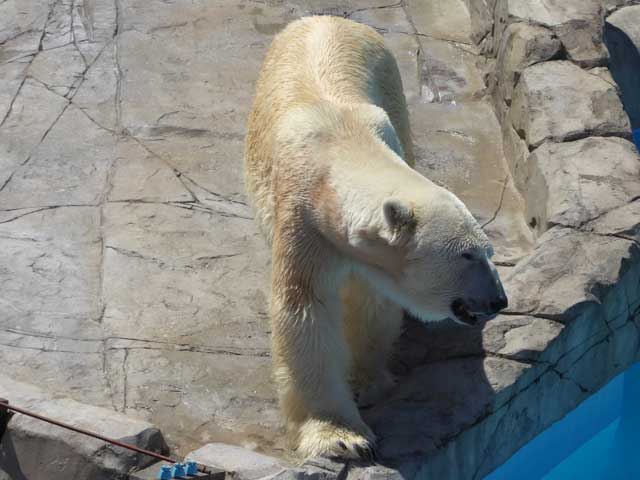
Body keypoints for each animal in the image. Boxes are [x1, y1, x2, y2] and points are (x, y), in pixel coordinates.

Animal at [242, 15, 508, 462]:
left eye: (488, 252)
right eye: (468, 256)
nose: (498, 300)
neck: (340, 143)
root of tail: (325, 18)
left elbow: (371, 301)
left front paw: (367, 382)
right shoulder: (304, 219)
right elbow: (305, 309)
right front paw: (340, 436)